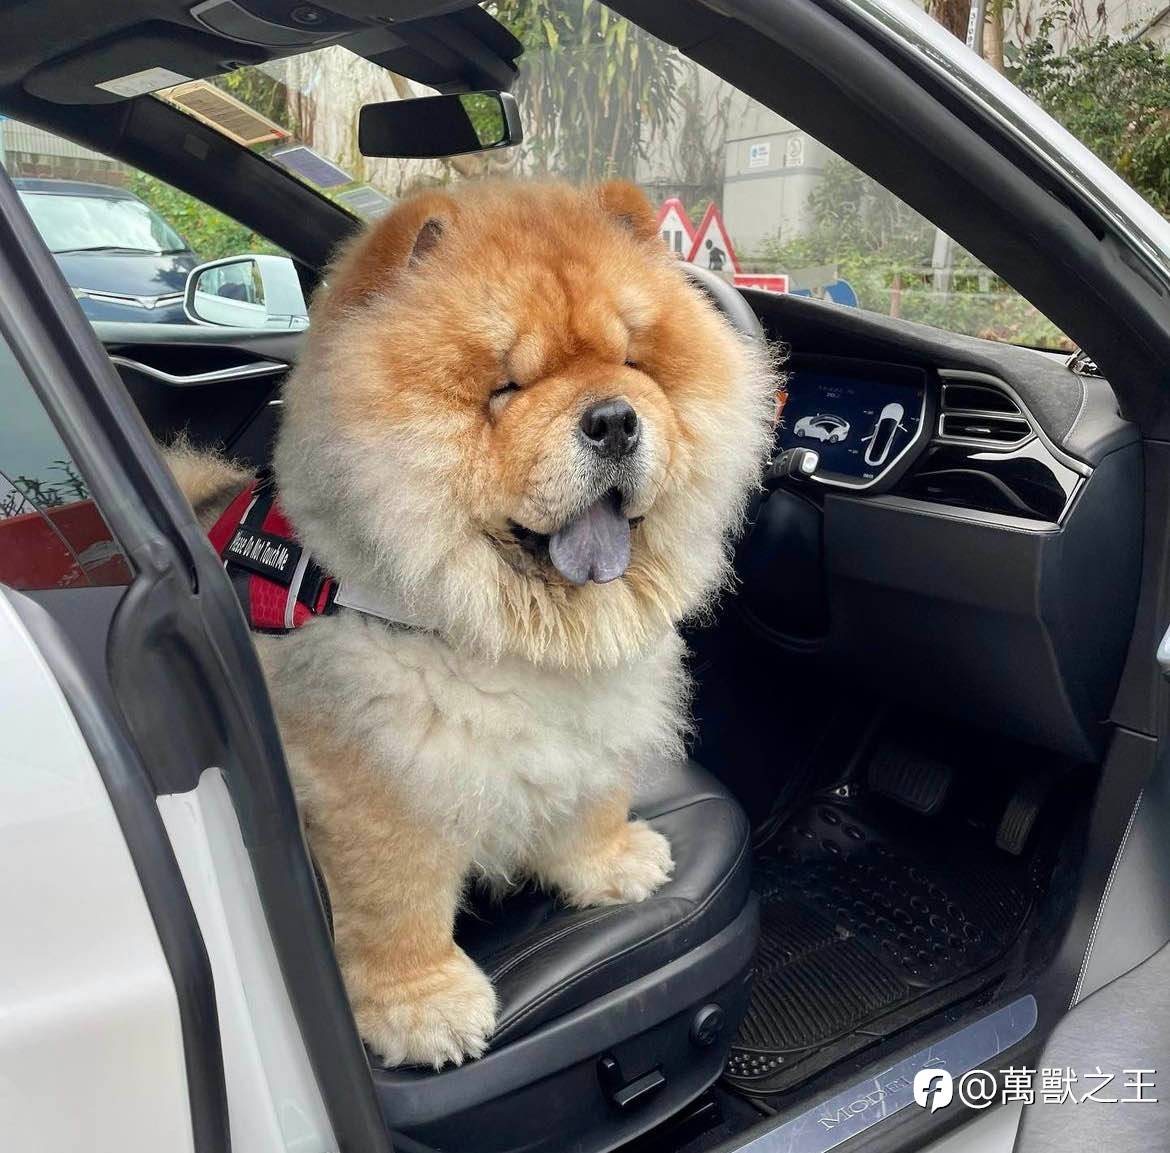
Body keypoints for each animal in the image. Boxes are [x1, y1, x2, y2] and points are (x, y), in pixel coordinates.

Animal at [171, 179, 777, 1069]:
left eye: (634, 364)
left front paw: (614, 861)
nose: (615, 418)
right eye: (506, 386)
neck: (516, 634)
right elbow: (398, 900)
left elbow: (594, 795)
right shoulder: (377, 777)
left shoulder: (595, 721)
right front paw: (426, 1009)